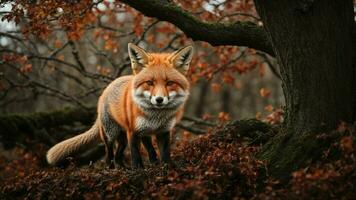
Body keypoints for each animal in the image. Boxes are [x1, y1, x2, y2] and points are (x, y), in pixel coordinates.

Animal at [46, 43, 195, 169]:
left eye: (169, 83)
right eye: (149, 82)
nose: (159, 100)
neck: (155, 118)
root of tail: (110, 85)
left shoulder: (162, 131)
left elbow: (162, 153)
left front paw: (164, 168)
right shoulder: (134, 131)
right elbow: (136, 156)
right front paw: (138, 171)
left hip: (123, 138)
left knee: (119, 155)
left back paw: (123, 168)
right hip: (110, 133)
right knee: (109, 153)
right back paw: (111, 169)